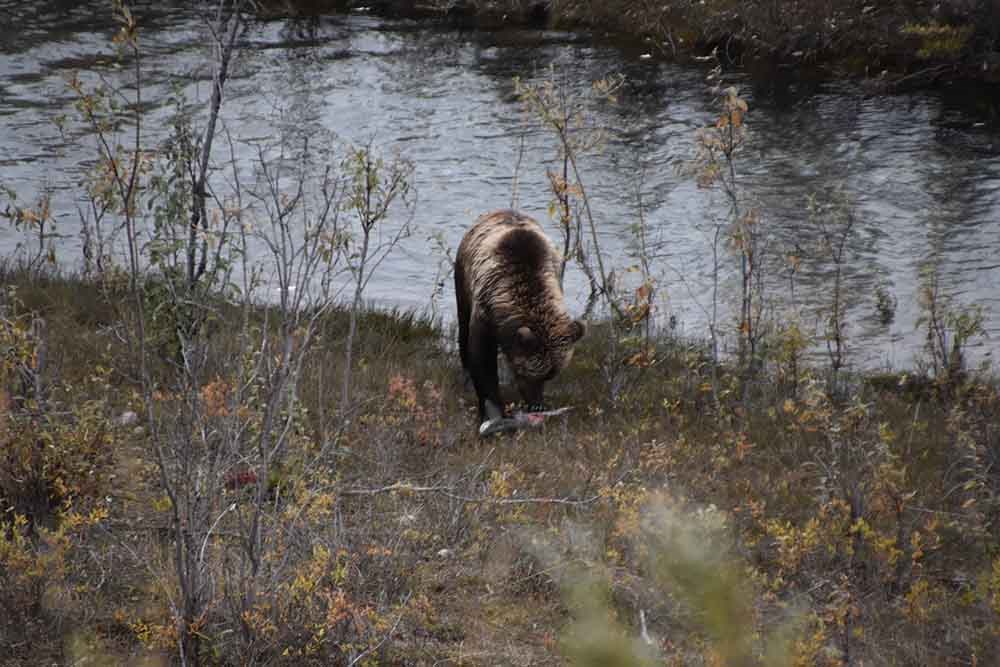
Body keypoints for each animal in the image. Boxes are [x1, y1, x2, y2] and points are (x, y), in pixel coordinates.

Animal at [456, 210, 584, 434]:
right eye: (529, 373)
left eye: (550, 376)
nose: (537, 406)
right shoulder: (485, 313)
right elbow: (481, 359)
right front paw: (492, 412)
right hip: (463, 276)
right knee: (462, 324)